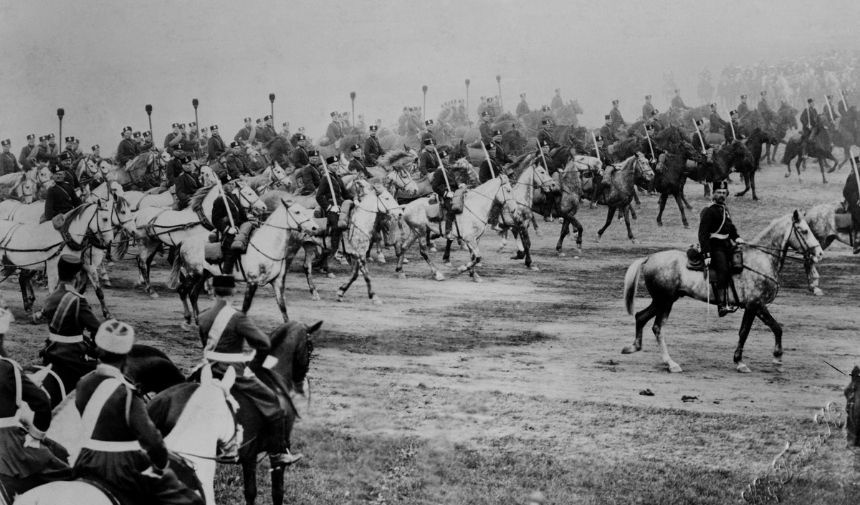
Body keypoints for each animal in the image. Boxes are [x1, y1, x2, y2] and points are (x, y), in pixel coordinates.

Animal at [170, 199, 318, 324]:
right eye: (297, 212)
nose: (315, 228)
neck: (268, 244)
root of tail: (184, 242)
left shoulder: (278, 282)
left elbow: (283, 308)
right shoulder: (252, 282)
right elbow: (245, 308)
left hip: (204, 274)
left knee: (193, 294)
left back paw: (197, 320)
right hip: (193, 274)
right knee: (182, 290)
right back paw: (187, 318)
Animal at [620, 211, 824, 372]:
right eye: (804, 231)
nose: (820, 253)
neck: (762, 259)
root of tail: (649, 258)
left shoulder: (755, 307)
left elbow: (771, 328)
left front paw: (774, 358)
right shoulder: (755, 305)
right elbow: (752, 331)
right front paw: (745, 361)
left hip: (664, 300)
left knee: (642, 318)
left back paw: (635, 348)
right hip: (664, 301)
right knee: (656, 326)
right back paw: (670, 363)